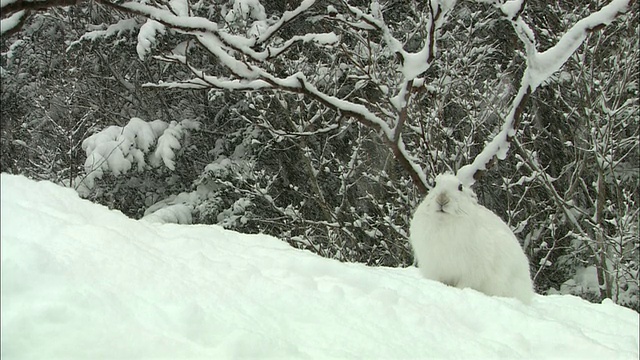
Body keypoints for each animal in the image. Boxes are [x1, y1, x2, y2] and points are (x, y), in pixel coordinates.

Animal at [410, 173, 536, 302]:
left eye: (460, 187)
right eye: (434, 184)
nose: (442, 199)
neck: (444, 222)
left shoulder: (471, 272)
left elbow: (464, 284)